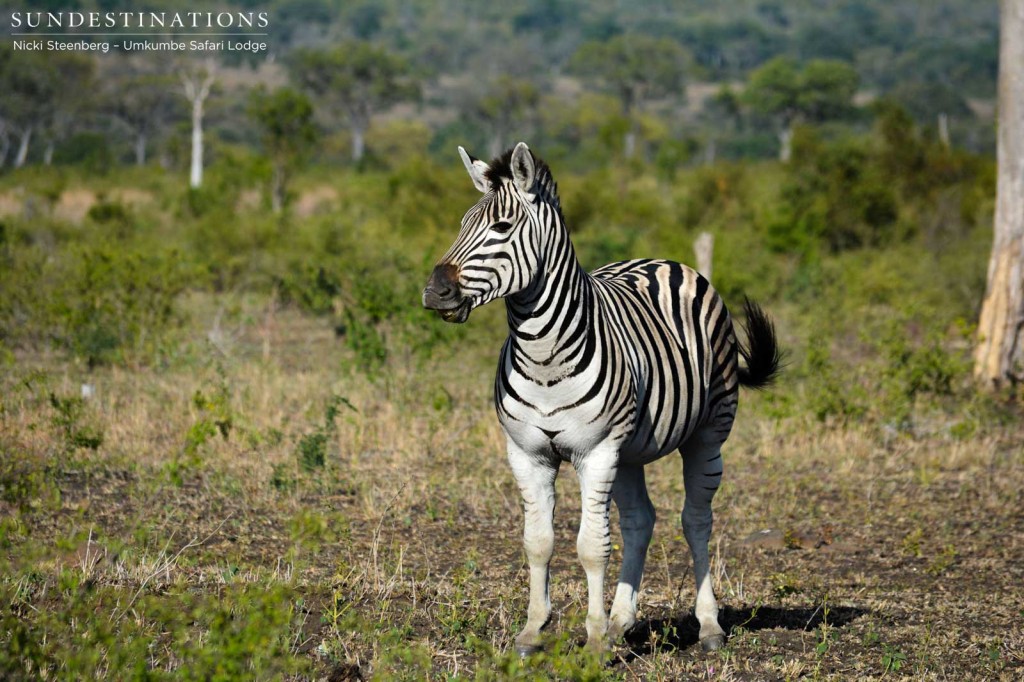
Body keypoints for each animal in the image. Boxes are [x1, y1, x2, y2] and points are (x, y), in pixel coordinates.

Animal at [419, 143, 778, 655]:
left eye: (501, 227)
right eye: (462, 223)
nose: (435, 292)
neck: (543, 356)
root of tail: (665, 261)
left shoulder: (596, 451)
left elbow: (591, 546)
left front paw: (592, 640)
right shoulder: (527, 452)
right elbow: (538, 541)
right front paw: (534, 631)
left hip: (707, 433)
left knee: (696, 520)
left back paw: (708, 625)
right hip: (629, 451)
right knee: (640, 520)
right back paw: (622, 622)